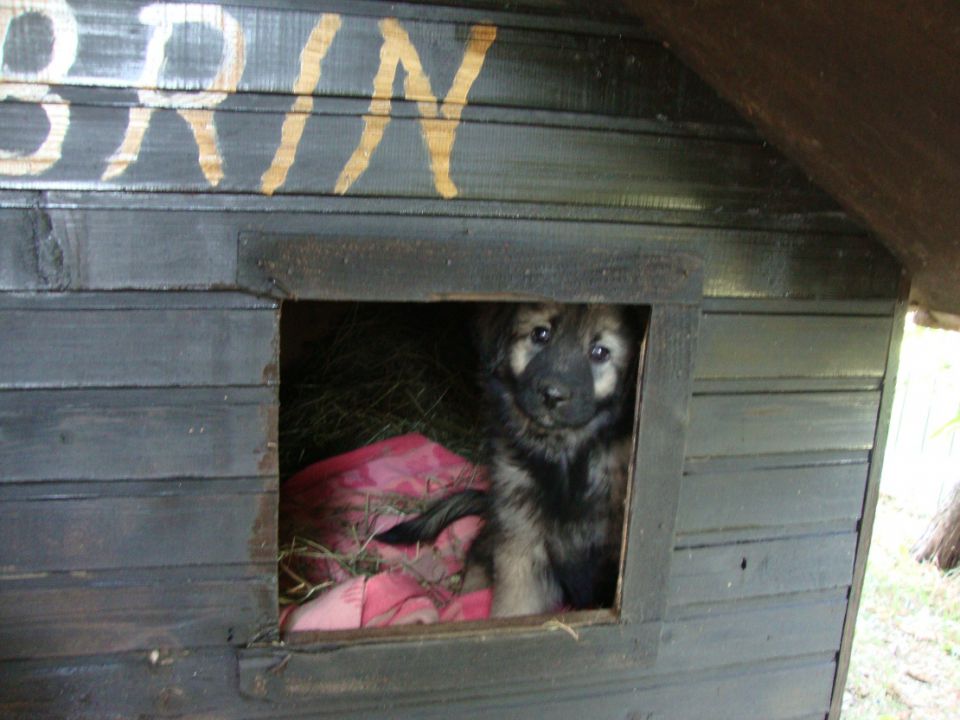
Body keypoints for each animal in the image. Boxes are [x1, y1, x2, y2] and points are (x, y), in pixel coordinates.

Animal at [378, 304, 640, 620]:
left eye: (600, 352)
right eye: (540, 334)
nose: (552, 395)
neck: (565, 458)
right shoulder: (521, 548)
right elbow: (514, 609)